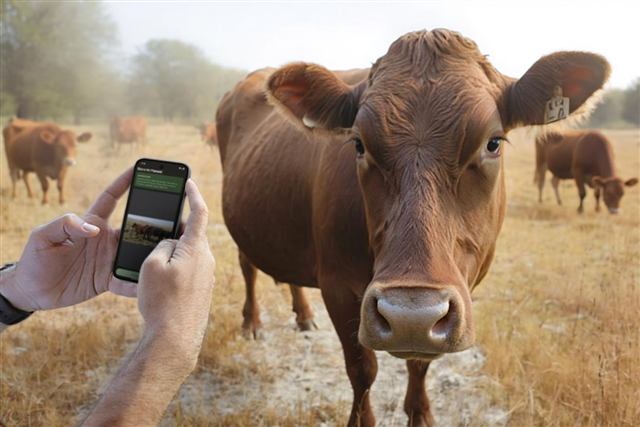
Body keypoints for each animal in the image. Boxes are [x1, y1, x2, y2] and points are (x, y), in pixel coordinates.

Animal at [216, 29, 609, 426]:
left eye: (493, 142)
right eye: (358, 144)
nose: (410, 317)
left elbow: (420, 364)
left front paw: (419, 413)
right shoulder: (337, 286)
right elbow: (362, 369)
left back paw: (304, 316)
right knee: (248, 266)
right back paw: (252, 323)